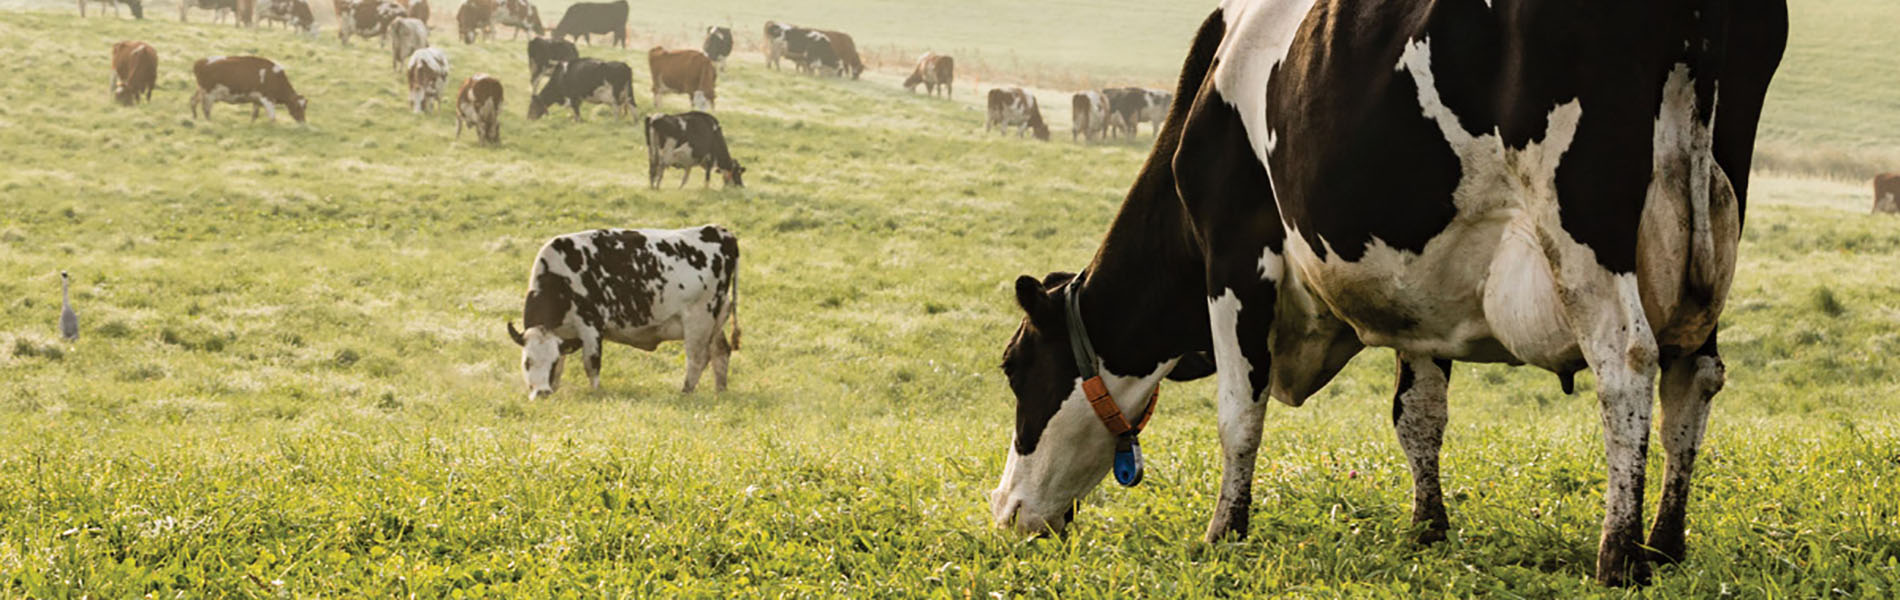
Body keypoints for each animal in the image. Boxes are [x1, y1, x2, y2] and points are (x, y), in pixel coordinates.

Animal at [507, 226, 742, 399]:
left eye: (551, 361)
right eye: (527, 362)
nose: (541, 393)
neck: (560, 278)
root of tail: (719, 231)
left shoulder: (591, 327)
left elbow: (591, 364)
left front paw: (595, 394)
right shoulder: (563, 334)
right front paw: (554, 389)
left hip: (699, 318)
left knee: (697, 358)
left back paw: (685, 392)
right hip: (716, 319)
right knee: (720, 352)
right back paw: (720, 391)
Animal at [988, 0, 1787, 588]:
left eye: (1014, 368)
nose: (1005, 510)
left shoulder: (1235, 255)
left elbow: (1237, 413)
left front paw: (1223, 532)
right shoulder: (1421, 294)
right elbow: (1418, 416)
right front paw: (1426, 530)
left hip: (1583, 223)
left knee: (1626, 363)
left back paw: (1618, 556)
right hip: (1711, 231)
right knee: (1694, 375)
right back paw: (1666, 542)